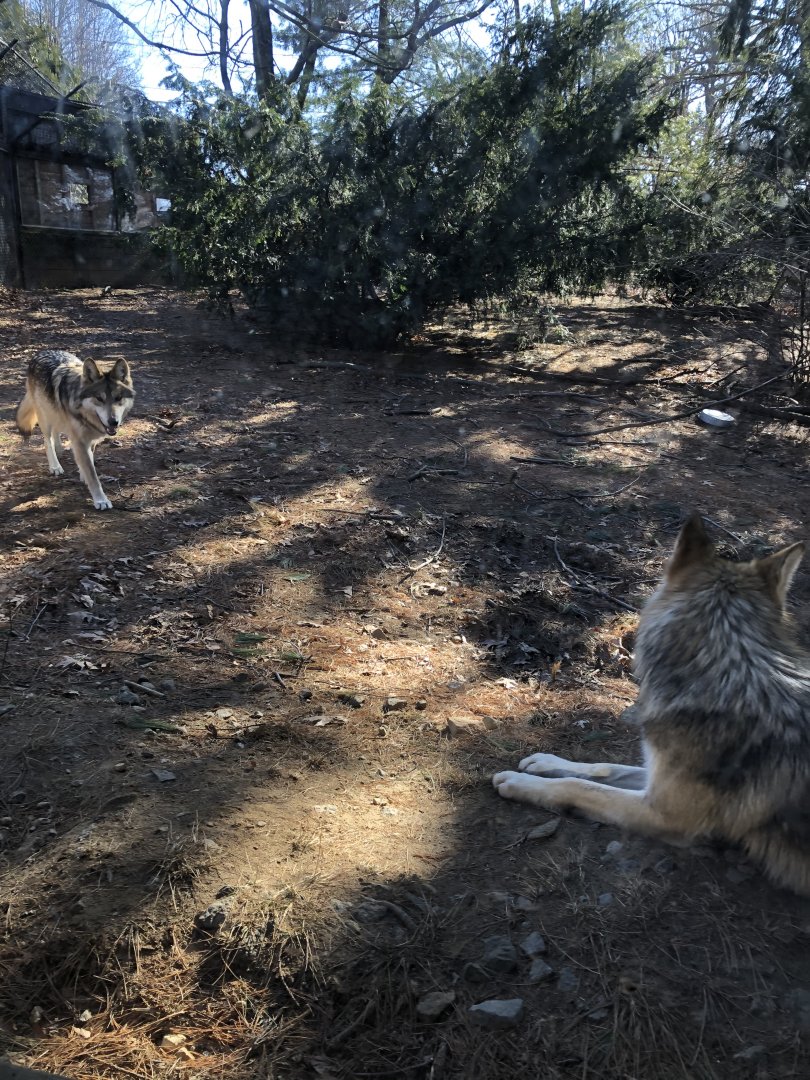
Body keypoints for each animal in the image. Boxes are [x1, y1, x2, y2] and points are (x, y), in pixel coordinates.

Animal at [16, 349, 135, 511]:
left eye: (118, 398)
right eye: (99, 398)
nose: (113, 422)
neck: (83, 412)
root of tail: (40, 352)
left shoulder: (89, 439)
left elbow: (89, 459)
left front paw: (83, 473)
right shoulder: (79, 440)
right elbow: (93, 475)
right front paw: (101, 500)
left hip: (56, 414)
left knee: (56, 432)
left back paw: (59, 449)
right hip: (45, 417)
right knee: (47, 441)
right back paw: (55, 466)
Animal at [493, 514, 810, 896]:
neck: (731, 675)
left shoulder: (663, 814)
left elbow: (578, 786)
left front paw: (522, 784)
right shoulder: (656, 778)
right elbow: (601, 768)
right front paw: (545, 763)